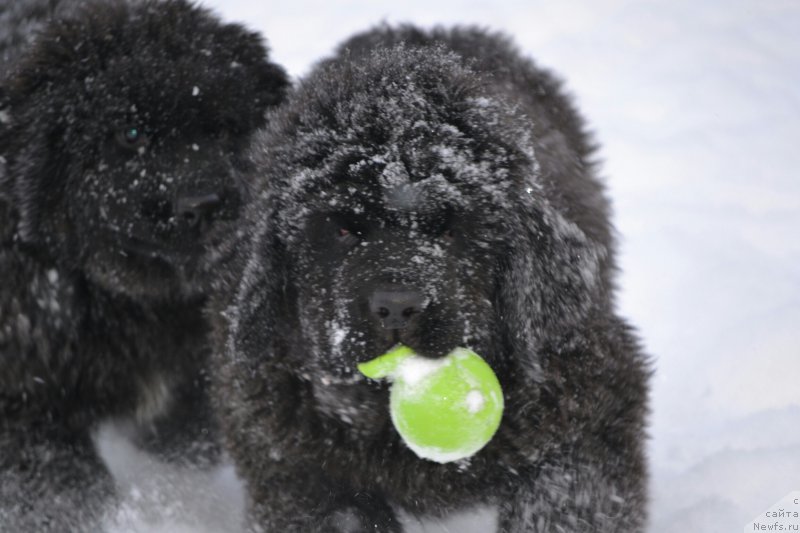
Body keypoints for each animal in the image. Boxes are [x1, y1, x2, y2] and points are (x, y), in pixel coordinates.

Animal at [0, 0, 288, 528]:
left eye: (220, 128)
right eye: (129, 134)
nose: (201, 204)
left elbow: (187, 437)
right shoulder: (22, 390)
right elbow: (62, 484)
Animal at [214, 23, 648, 532]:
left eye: (448, 227)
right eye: (342, 229)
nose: (397, 306)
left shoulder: (592, 401)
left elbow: (562, 497)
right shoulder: (293, 461)